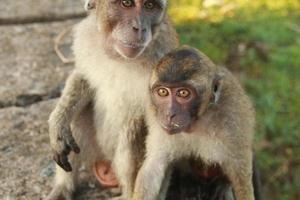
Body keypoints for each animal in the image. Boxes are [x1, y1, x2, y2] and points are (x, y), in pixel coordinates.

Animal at [47, 0, 178, 200]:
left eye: (149, 6)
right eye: (126, 3)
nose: (139, 28)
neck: (119, 57)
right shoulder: (86, 37)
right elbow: (83, 77)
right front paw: (57, 125)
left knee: (133, 128)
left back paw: (127, 194)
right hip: (95, 149)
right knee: (78, 115)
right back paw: (63, 187)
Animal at [134, 46, 255, 200]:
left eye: (183, 93)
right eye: (162, 92)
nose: (169, 114)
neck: (196, 122)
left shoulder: (233, 116)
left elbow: (240, 175)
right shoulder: (156, 118)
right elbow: (154, 166)